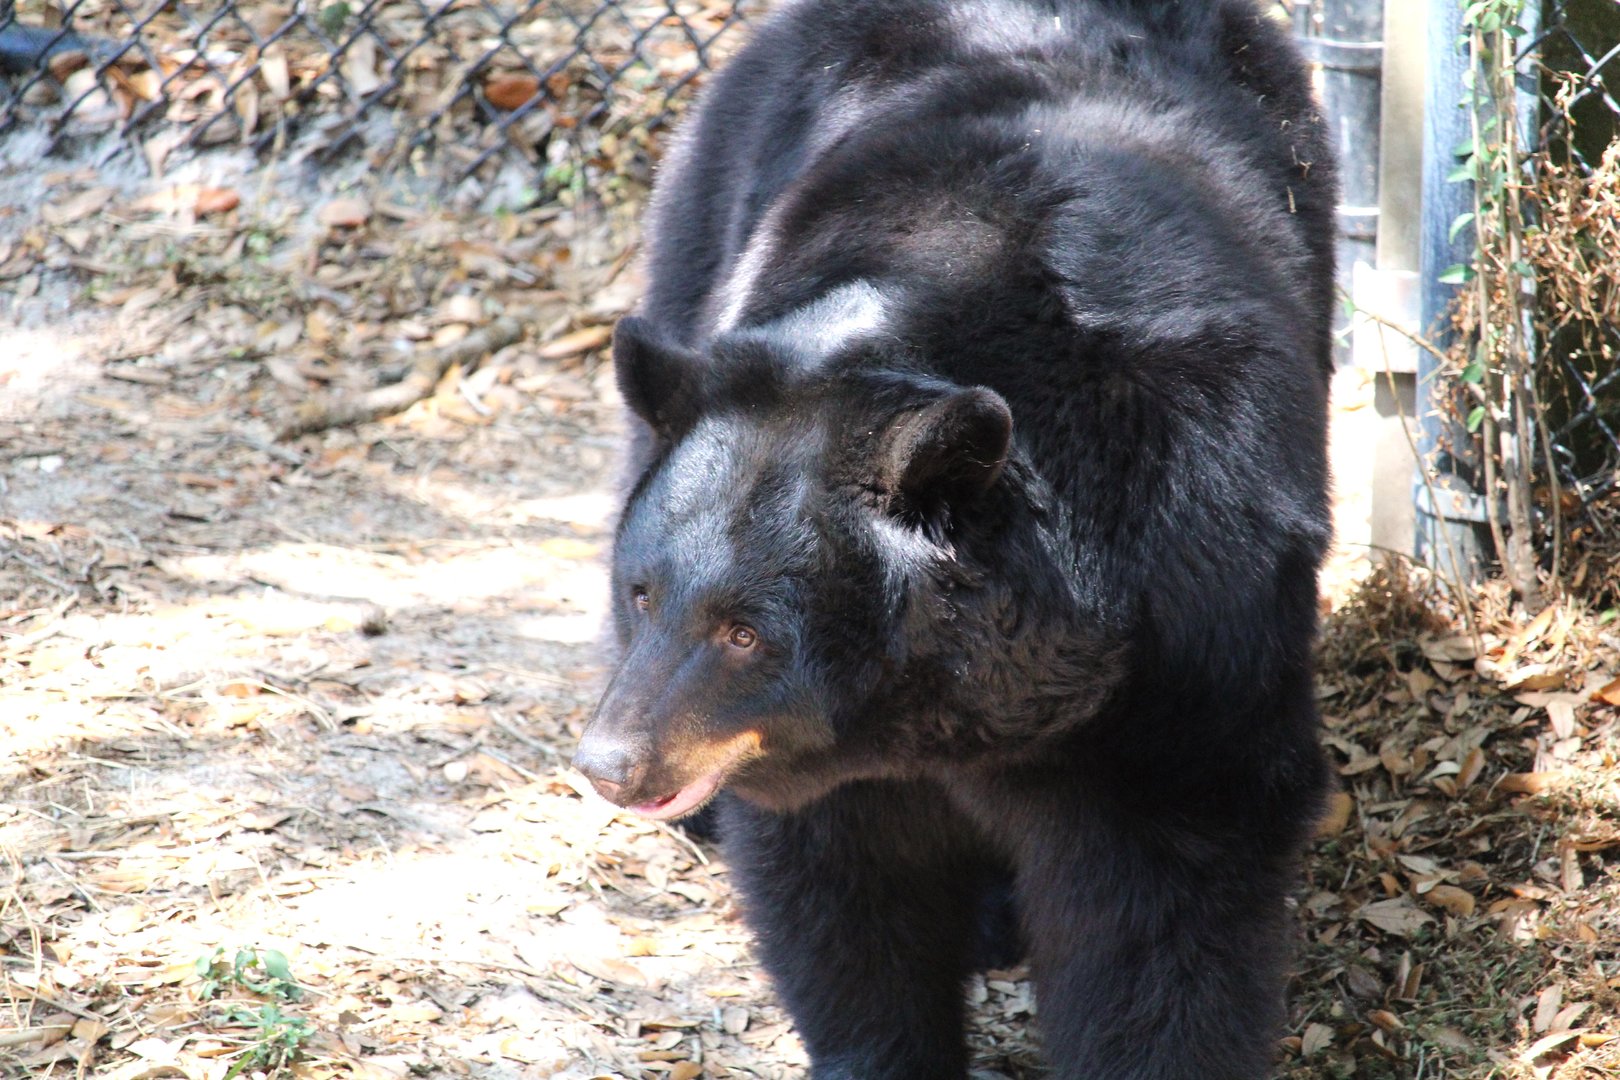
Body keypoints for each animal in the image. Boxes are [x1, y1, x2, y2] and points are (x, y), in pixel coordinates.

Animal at [572, 1, 1337, 1077]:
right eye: (643, 592)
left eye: (744, 633)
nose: (611, 763)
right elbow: (843, 891)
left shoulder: (1194, 608)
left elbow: (1165, 894)